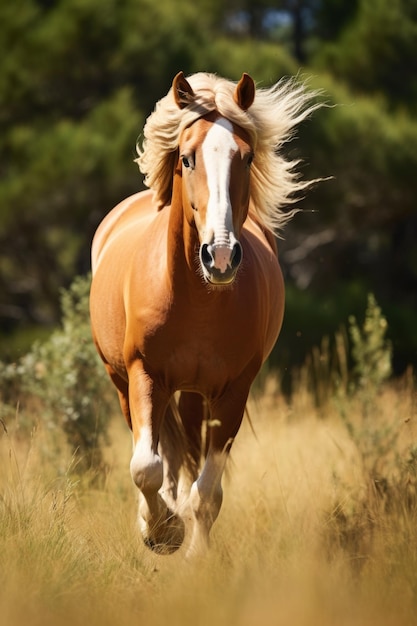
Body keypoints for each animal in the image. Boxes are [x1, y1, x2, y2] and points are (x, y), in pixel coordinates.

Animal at [90, 70, 318, 552]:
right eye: (187, 158)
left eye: (246, 159)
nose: (221, 256)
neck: (197, 301)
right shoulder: (144, 375)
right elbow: (145, 467)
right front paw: (161, 530)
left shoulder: (233, 391)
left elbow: (207, 491)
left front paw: (195, 553)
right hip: (122, 382)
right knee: (157, 454)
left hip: (195, 393)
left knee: (188, 459)